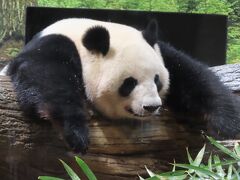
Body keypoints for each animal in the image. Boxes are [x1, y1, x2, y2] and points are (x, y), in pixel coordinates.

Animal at [0, 17, 239, 153]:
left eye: (157, 79)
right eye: (129, 83)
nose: (151, 106)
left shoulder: (161, 52)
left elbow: (193, 76)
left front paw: (228, 124)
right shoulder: (51, 47)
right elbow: (45, 80)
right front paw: (76, 133)